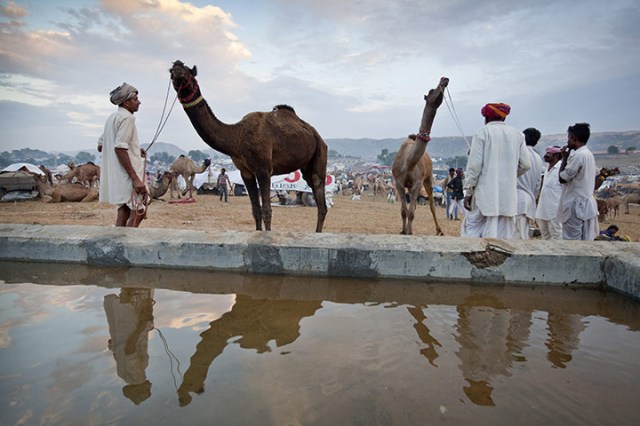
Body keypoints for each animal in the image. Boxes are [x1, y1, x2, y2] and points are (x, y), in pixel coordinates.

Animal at [170, 60, 328, 232]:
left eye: (187, 71)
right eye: (171, 70)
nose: (177, 70)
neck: (237, 137)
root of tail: (315, 134)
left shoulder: (264, 169)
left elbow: (267, 210)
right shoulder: (245, 172)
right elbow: (255, 210)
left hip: (320, 152)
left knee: (321, 199)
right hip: (306, 165)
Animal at [391, 77, 449, 236]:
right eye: (431, 91)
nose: (444, 79)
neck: (409, 161)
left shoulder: (418, 182)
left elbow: (411, 212)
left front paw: (410, 232)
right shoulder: (398, 182)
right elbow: (404, 211)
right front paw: (403, 231)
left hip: (428, 179)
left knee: (431, 205)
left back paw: (439, 230)